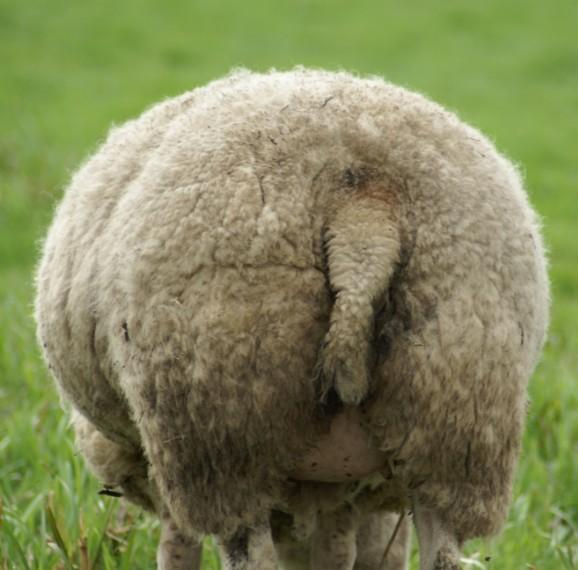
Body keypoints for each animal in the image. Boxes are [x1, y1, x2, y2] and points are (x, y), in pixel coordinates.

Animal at [33, 67, 548, 568]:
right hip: (457, 409)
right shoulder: (346, 492)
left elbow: (178, 547)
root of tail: (365, 208)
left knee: (248, 549)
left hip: (220, 423)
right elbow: (349, 551)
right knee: (443, 549)